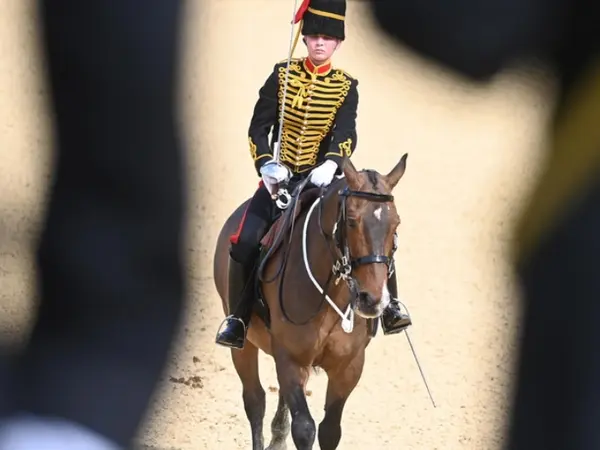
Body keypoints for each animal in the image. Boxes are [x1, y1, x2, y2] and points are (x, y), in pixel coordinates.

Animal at [211, 155, 408, 450]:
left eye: (395, 224)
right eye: (351, 221)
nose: (372, 300)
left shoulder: (349, 367)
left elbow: (330, 431)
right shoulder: (292, 360)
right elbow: (304, 428)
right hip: (243, 345)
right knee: (255, 400)